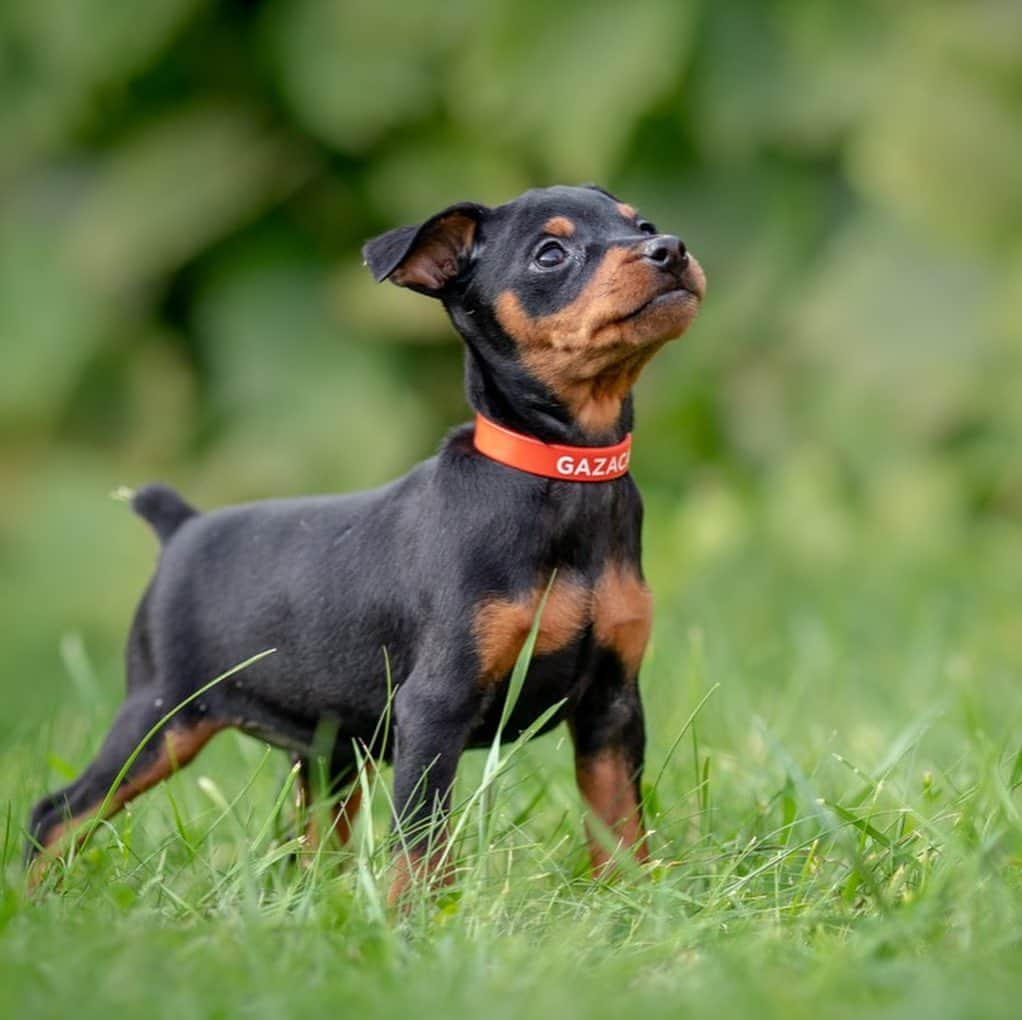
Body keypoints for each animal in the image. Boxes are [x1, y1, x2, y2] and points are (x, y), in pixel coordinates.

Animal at [27, 183, 707, 903]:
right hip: (162, 717)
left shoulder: (612, 703)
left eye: (644, 225)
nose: (670, 250)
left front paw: (633, 901)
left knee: (313, 846)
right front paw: (420, 919)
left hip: (329, 752)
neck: (562, 476)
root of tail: (181, 526)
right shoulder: (433, 709)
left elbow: (619, 823)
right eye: (550, 254)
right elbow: (421, 843)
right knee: (56, 815)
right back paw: (32, 902)